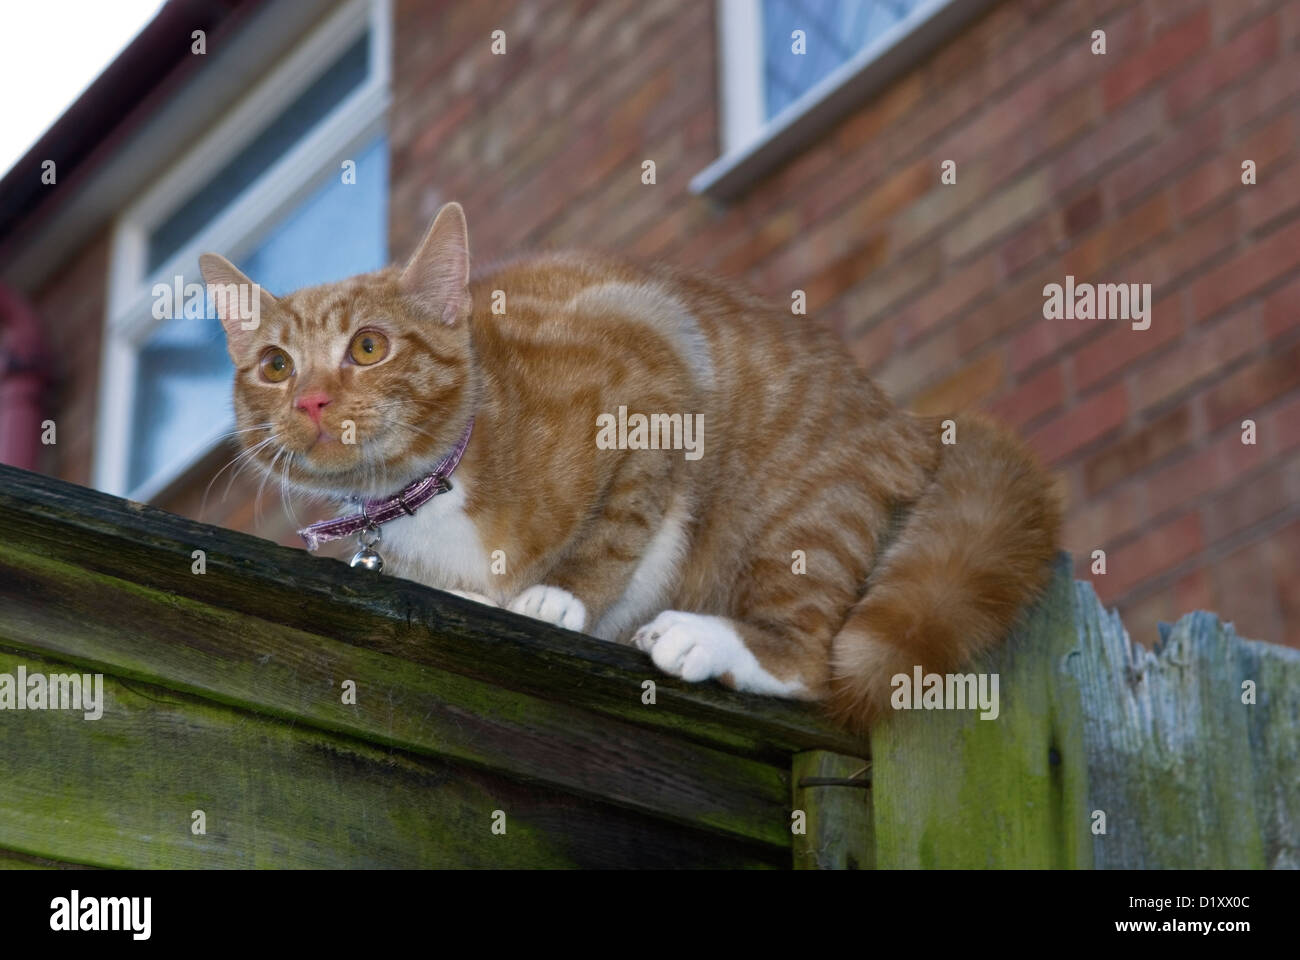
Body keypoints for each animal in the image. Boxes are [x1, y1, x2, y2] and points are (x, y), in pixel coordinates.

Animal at [200, 201, 1055, 733]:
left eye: (369, 346)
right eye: (274, 365)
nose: (310, 398)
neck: (431, 492)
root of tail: (903, 421)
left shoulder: (652, 369)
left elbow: (618, 523)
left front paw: (556, 598)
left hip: (803, 514)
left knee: (815, 658)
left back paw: (709, 639)